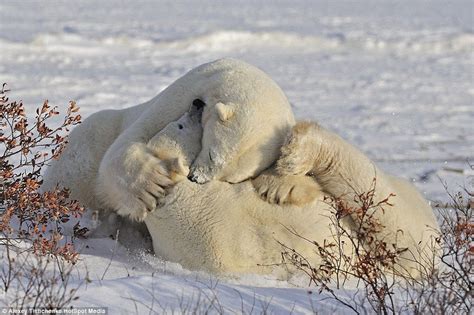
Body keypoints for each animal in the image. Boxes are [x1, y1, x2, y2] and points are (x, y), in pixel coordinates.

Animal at [42, 59, 294, 222]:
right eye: (212, 154)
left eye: (232, 180)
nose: (195, 179)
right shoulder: (188, 90)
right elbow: (132, 140)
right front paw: (149, 186)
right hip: (88, 144)